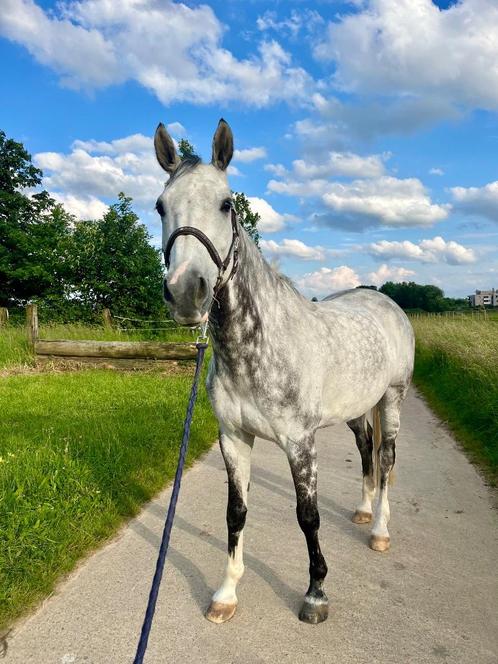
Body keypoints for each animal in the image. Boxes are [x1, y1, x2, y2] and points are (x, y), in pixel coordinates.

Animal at [154, 120, 414, 628]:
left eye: (227, 204)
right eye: (160, 206)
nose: (187, 291)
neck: (258, 352)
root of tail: (383, 301)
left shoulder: (300, 442)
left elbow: (307, 516)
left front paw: (315, 595)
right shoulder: (233, 437)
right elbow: (235, 513)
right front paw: (226, 594)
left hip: (392, 398)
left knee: (387, 456)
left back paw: (379, 530)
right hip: (357, 409)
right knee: (366, 451)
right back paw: (362, 511)